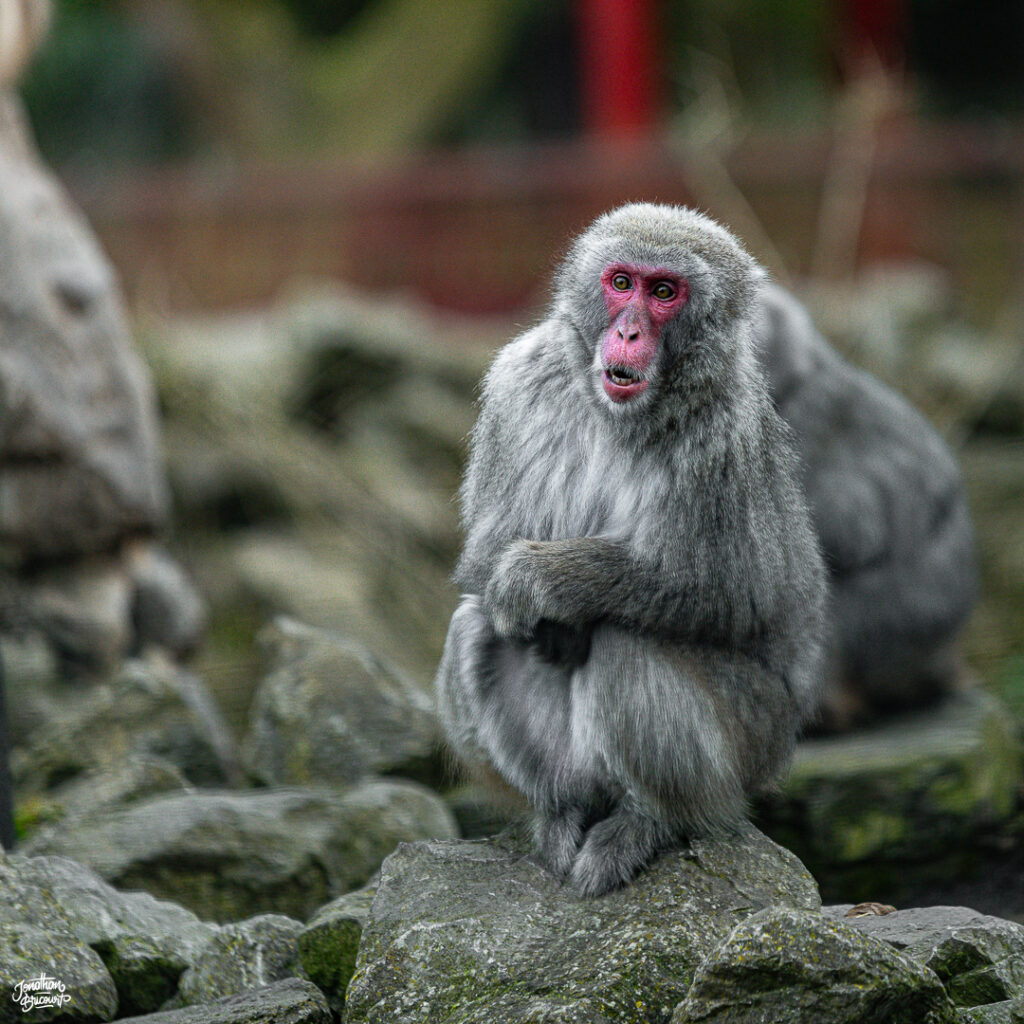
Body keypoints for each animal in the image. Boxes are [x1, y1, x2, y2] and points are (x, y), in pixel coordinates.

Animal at [435, 203, 827, 897]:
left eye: (665, 292)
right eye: (622, 283)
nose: (629, 333)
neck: (621, 415)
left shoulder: (720, 439)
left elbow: (724, 595)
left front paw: (544, 579)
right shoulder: (517, 380)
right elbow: (484, 556)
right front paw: (528, 594)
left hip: (746, 746)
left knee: (626, 643)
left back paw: (649, 822)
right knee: (476, 626)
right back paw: (563, 810)